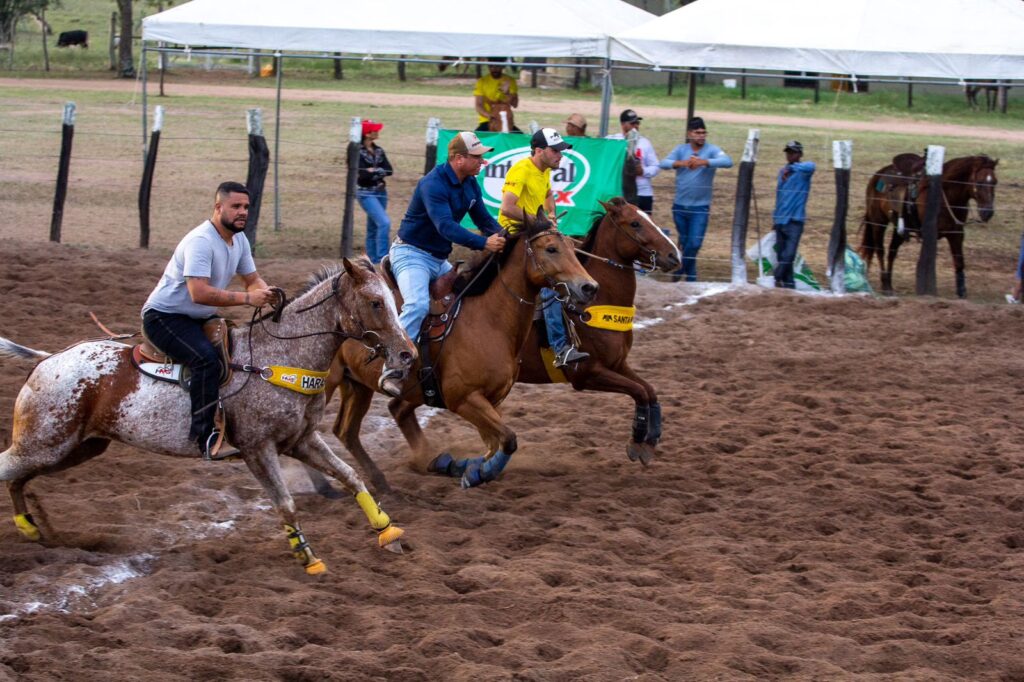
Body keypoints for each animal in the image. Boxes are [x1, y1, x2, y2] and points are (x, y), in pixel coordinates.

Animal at [1, 259, 415, 573]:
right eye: (375, 302)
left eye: (391, 299)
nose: (407, 354)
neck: (276, 358)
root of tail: (47, 360)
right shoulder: (257, 449)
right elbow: (285, 503)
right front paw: (308, 558)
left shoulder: (300, 440)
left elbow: (350, 476)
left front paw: (388, 532)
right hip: (45, 444)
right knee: (9, 468)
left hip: (76, 448)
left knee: (18, 478)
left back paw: (31, 528)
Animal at [327, 206, 598, 489]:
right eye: (551, 248)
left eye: (572, 245)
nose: (589, 287)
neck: (488, 319)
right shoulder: (464, 398)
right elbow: (508, 439)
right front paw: (475, 472)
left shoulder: (492, 400)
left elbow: (496, 444)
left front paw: (461, 466)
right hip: (328, 381)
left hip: (357, 385)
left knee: (346, 431)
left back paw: (382, 481)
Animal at [520, 196, 679, 464]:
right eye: (635, 223)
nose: (675, 256)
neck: (593, 303)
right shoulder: (588, 374)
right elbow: (639, 391)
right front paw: (637, 441)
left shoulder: (618, 364)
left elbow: (649, 391)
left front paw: (650, 440)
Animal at [860, 155, 995, 296]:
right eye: (979, 182)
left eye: (995, 182)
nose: (988, 213)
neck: (945, 195)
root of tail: (877, 175)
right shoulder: (930, 235)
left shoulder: (956, 233)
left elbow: (959, 261)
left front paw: (961, 291)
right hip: (878, 222)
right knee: (880, 250)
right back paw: (885, 285)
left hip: (899, 228)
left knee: (892, 251)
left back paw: (889, 284)